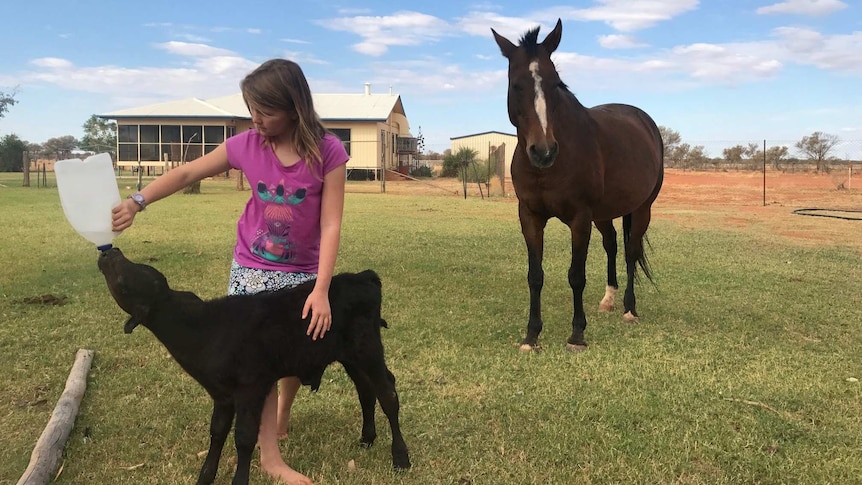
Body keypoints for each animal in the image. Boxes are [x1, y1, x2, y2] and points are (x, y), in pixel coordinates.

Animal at [492, 19, 668, 352]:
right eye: (516, 85)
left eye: (556, 83)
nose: (544, 151)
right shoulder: (530, 216)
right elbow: (535, 275)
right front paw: (531, 336)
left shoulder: (580, 218)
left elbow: (576, 275)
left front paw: (576, 335)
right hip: (604, 214)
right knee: (612, 244)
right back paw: (608, 300)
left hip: (641, 209)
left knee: (630, 252)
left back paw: (629, 309)